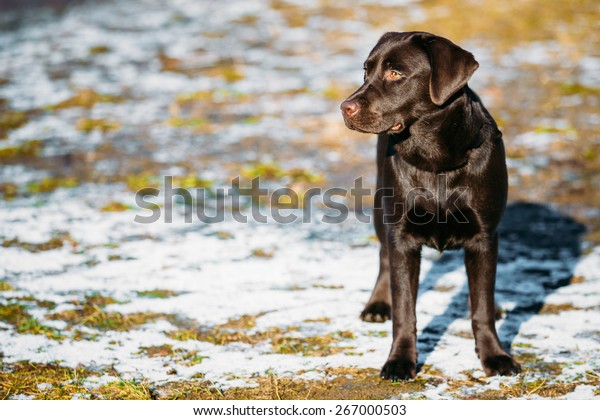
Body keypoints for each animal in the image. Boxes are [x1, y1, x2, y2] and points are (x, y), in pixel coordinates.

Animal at [342, 32, 520, 380]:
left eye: (395, 73)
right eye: (366, 71)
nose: (345, 107)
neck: (435, 160)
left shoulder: (484, 236)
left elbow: (480, 305)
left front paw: (495, 356)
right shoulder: (402, 237)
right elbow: (404, 308)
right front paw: (400, 361)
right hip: (382, 211)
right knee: (384, 258)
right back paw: (377, 305)